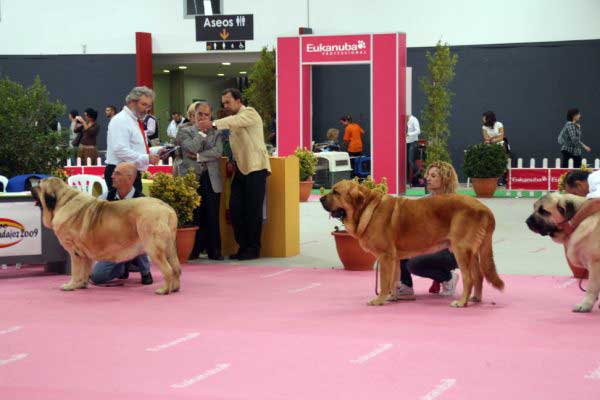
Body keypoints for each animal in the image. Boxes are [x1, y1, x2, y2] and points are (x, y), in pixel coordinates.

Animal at [30, 178, 180, 294]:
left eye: (39, 185)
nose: (30, 184)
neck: (63, 202)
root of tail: (166, 207)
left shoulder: (75, 252)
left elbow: (76, 271)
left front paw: (71, 285)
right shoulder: (85, 254)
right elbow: (85, 270)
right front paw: (82, 284)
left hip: (153, 247)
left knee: (168, 270)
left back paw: (164, 290)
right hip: (170, 248)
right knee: (176, 268)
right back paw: (174, 288)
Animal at [322, 180, 504, 308]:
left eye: (336, 192)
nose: (321, 198)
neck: (367, 208)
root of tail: (484, 208)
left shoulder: (385, 256)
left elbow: (384, 281)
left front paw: (379, 299)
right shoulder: (394, 258)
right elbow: (393, 281)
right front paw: (392, 297)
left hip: (460, 250)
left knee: (469, 278)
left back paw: (461, 302)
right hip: (472, 252)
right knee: (479, 275)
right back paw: (476, 298)